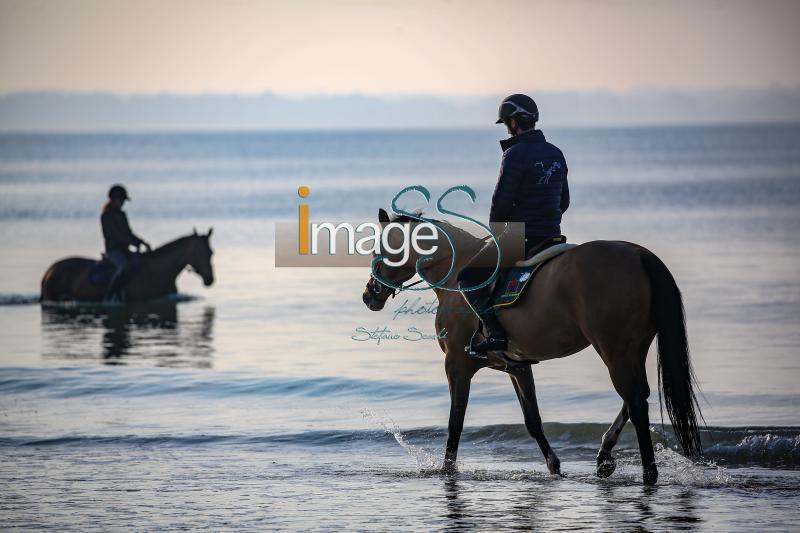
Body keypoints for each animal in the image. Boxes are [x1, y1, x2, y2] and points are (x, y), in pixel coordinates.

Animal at [360, 210, 700, 484]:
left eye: (381, 249)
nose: (368, 295)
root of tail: (640, 255)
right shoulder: (517, 366)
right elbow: (533, 421)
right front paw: (554, 467)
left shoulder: (457, 365)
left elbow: (455, 423)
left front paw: (446, 471)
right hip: (634, 347)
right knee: (636, 397)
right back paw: (604, 456)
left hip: (614, 350)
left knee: (635, 401)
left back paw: (647, 473)